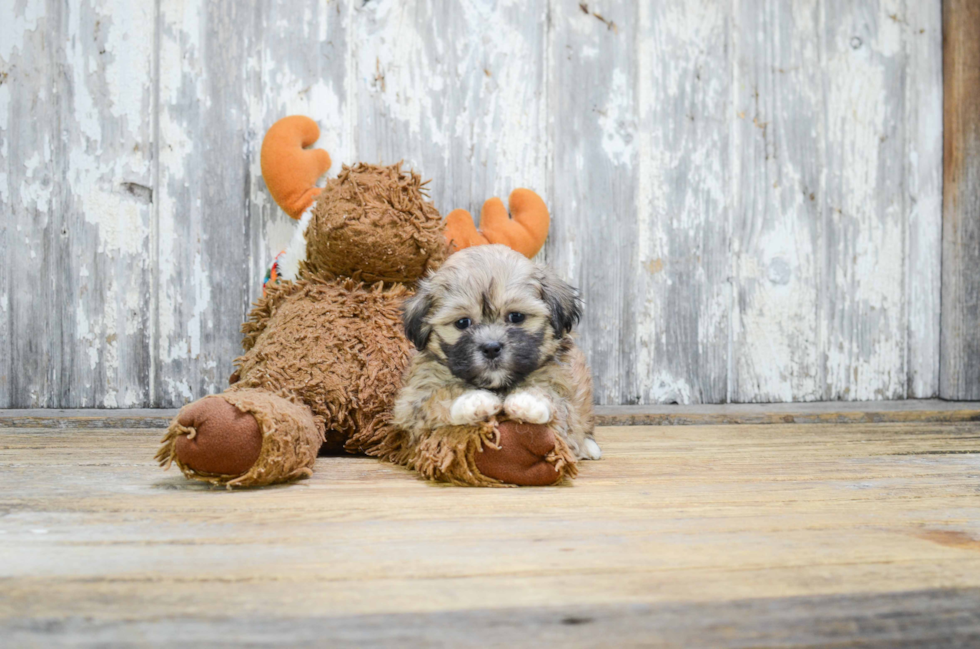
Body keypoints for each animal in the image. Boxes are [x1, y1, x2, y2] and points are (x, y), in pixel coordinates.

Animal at [394, 243, 600, 460]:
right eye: (462, 322)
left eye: (516, 316)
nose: (491, 348)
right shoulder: (410, 405)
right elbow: (433, 401)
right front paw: (472, 401)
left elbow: (558, 403)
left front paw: (529, 401)